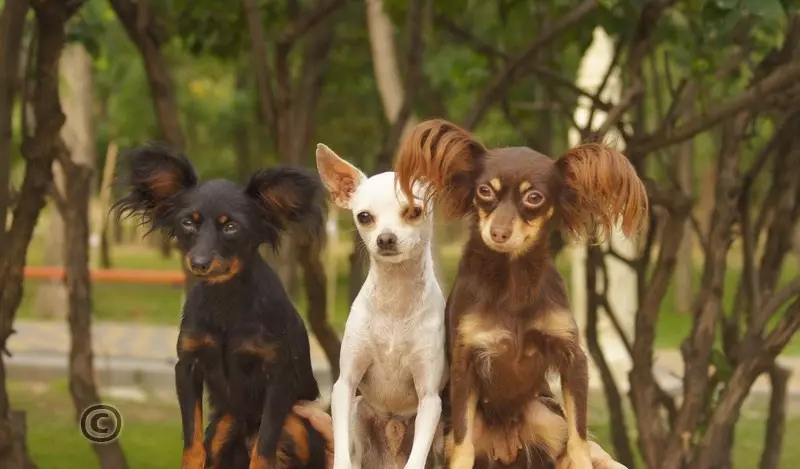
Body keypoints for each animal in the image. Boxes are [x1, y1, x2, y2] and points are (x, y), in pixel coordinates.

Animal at [112, 144, 328, 468]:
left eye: (231, 227)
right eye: (188, 222)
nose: (199, 263)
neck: (225, 301)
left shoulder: (278, 377)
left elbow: (264, 450)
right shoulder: (187, 368)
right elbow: (192, 443)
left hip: (295, 424)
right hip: (224, 425)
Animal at [316, 144, 446, 468]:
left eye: (414, 211)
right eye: (364, 216)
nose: (386, 238)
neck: (395, 300)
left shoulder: (430, 400)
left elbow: (416, 461)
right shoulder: (345, 385)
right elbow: (340, 454)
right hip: (359, 414)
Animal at [390, 119, 648, 468]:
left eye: (534, 197)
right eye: (484, 191)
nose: (498, 232)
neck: (512, 279)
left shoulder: (573, 360)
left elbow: (579, 438)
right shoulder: (466, 365)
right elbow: (463, 444)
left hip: (543, 414)